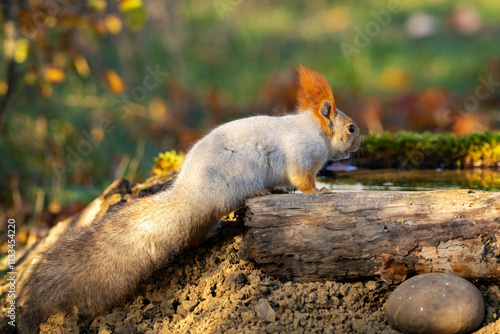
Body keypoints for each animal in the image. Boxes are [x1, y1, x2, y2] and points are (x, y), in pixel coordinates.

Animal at [14, 66, 360, 334]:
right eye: (351, 127)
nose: (360, 140)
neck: (316, 131)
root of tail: (193, 195)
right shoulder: (301, 157)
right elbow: (303, 180)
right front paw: (318, 192)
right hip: (242, 175)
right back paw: (260, 193)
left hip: (205, 215)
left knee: (197, 231)